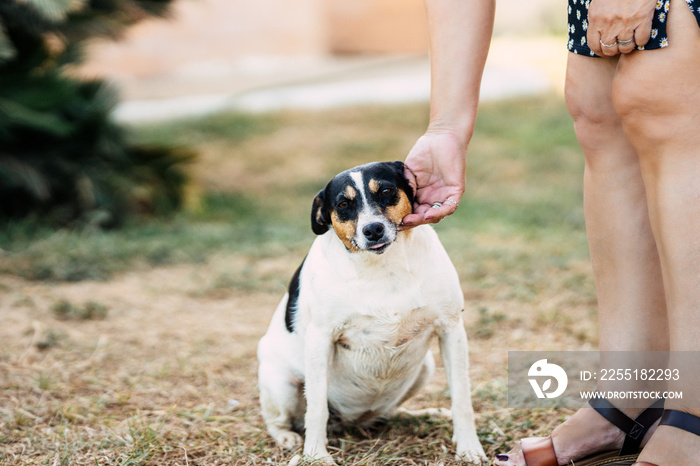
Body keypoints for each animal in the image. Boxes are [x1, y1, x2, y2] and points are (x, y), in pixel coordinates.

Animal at [258, 162, 486, 464]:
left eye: (386, 191)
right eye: (343, 204)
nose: (373, 229)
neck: (383, 268)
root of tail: (352, 421)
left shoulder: (451, 329)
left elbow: (461, 398)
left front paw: (469, 447)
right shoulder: (320, 340)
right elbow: (316, 409)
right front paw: (316, 456)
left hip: (425, 367)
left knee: (388, 413)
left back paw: (424, 414)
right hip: (281, 385)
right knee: (280, 421)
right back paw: (287, 437)